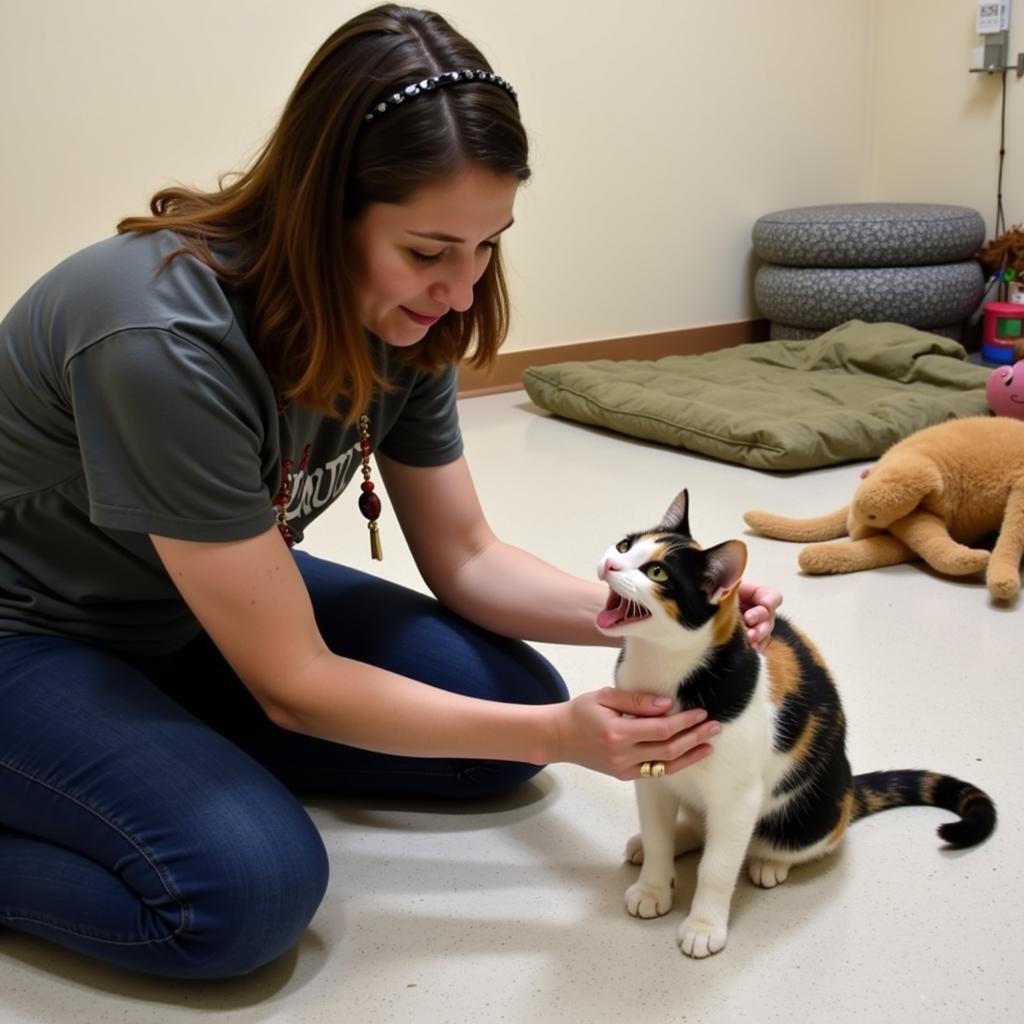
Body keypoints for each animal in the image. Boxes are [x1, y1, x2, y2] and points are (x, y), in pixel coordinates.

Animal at [598, 487, 995, 958]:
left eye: (656, 572)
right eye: (625, 546)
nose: (609, 563)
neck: (662, 670)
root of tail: (849, 786)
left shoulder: (738, 798)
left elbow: (718, 867)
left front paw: (703, 925)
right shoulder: (653, 774)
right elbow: (660, 835)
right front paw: (653, 888)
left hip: (809, 813)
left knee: (782, 841)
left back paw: (768, 861)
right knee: (697, 826)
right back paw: (664, 841)